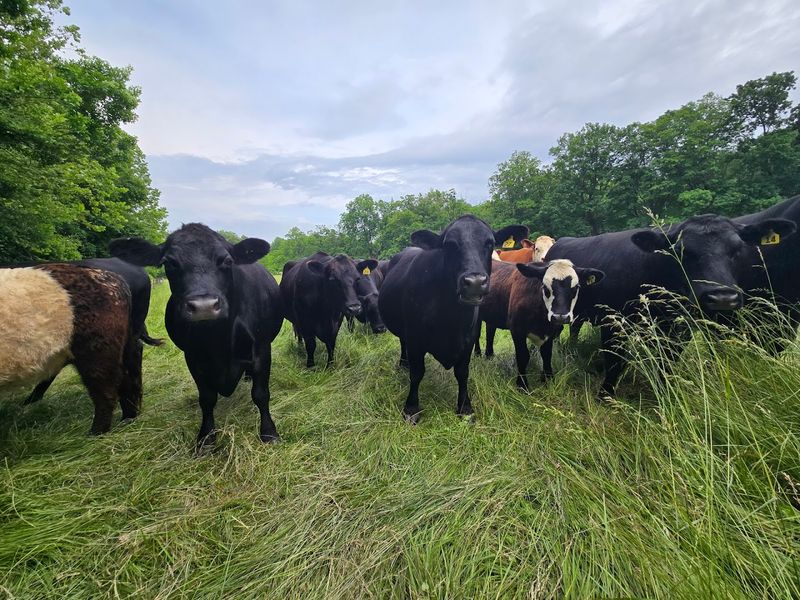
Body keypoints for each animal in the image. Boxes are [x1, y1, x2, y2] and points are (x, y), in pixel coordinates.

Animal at [1, 264, 140, 434]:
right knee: (126, 379)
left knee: (106, 390)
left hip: (96, 349)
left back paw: (95, 433)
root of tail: (112, 277)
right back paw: (128, 418)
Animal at [109, 223, 284, 450]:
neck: (218, 338)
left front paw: (269, 433)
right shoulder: (193, 356)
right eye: (169, 263)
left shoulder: (262, 348)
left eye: (227, 260)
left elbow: (261, 394)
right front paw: (206, 437)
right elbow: (207, 399)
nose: (204, 306)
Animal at [378, 216, 528, 423]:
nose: (475, 282)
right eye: (449, 244)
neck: (450, 316)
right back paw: (403, 363)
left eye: (490, 243)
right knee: (402, 343)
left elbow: (462, 373)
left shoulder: (468, 339)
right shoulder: (415, 338)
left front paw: (465, 407)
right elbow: (417, 373)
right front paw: (411, 408)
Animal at [476, 259, 604, 389]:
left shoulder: (551, 331)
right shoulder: (517, 330)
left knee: (490, 330)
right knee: (476, 334)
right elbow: (523, 356)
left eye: (576, 288)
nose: (560, 317)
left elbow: (546, 354)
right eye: (545, 288)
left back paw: (489, 355)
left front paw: (548, 378)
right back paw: (478, 354)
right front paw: (522, 385)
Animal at [544, 214, 796, 399]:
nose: (722, 298)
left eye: (737, 250)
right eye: (682, 251)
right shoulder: (613, 322)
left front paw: (665, 394)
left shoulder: (679, 328)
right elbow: (614, 361)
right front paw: (605, 395)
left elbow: (667, 364)